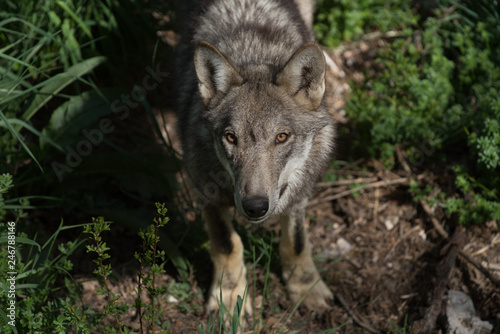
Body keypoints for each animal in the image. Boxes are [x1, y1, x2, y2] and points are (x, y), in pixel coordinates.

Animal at [176, 0, 336, 318]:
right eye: (231, 138)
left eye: (281, 137)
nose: (255, 207)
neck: (254, 51)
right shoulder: (207, 196)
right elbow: (228, 245)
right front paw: (228, 298)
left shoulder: (299, 195)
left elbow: (297, 242)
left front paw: (306, 288)